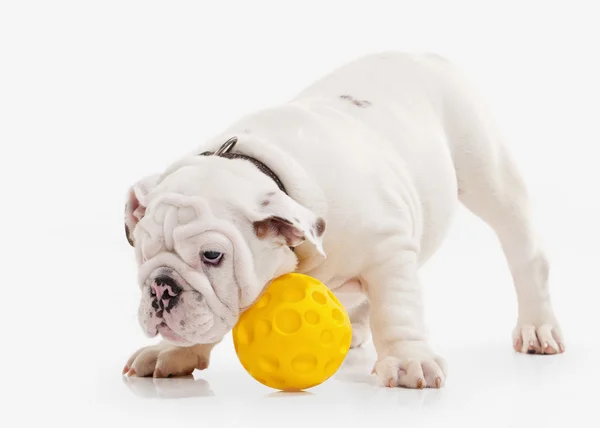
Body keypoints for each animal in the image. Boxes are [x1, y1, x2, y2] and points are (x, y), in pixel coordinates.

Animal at [122, 52, 564, 388]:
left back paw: (537, 327)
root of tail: (426, 55)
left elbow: (396, 310)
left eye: (213, 256)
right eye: (142, 253)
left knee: (525, 254)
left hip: (489, 175)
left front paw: (407, 360)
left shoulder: (389, 249)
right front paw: (172, 353)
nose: (161, 287)